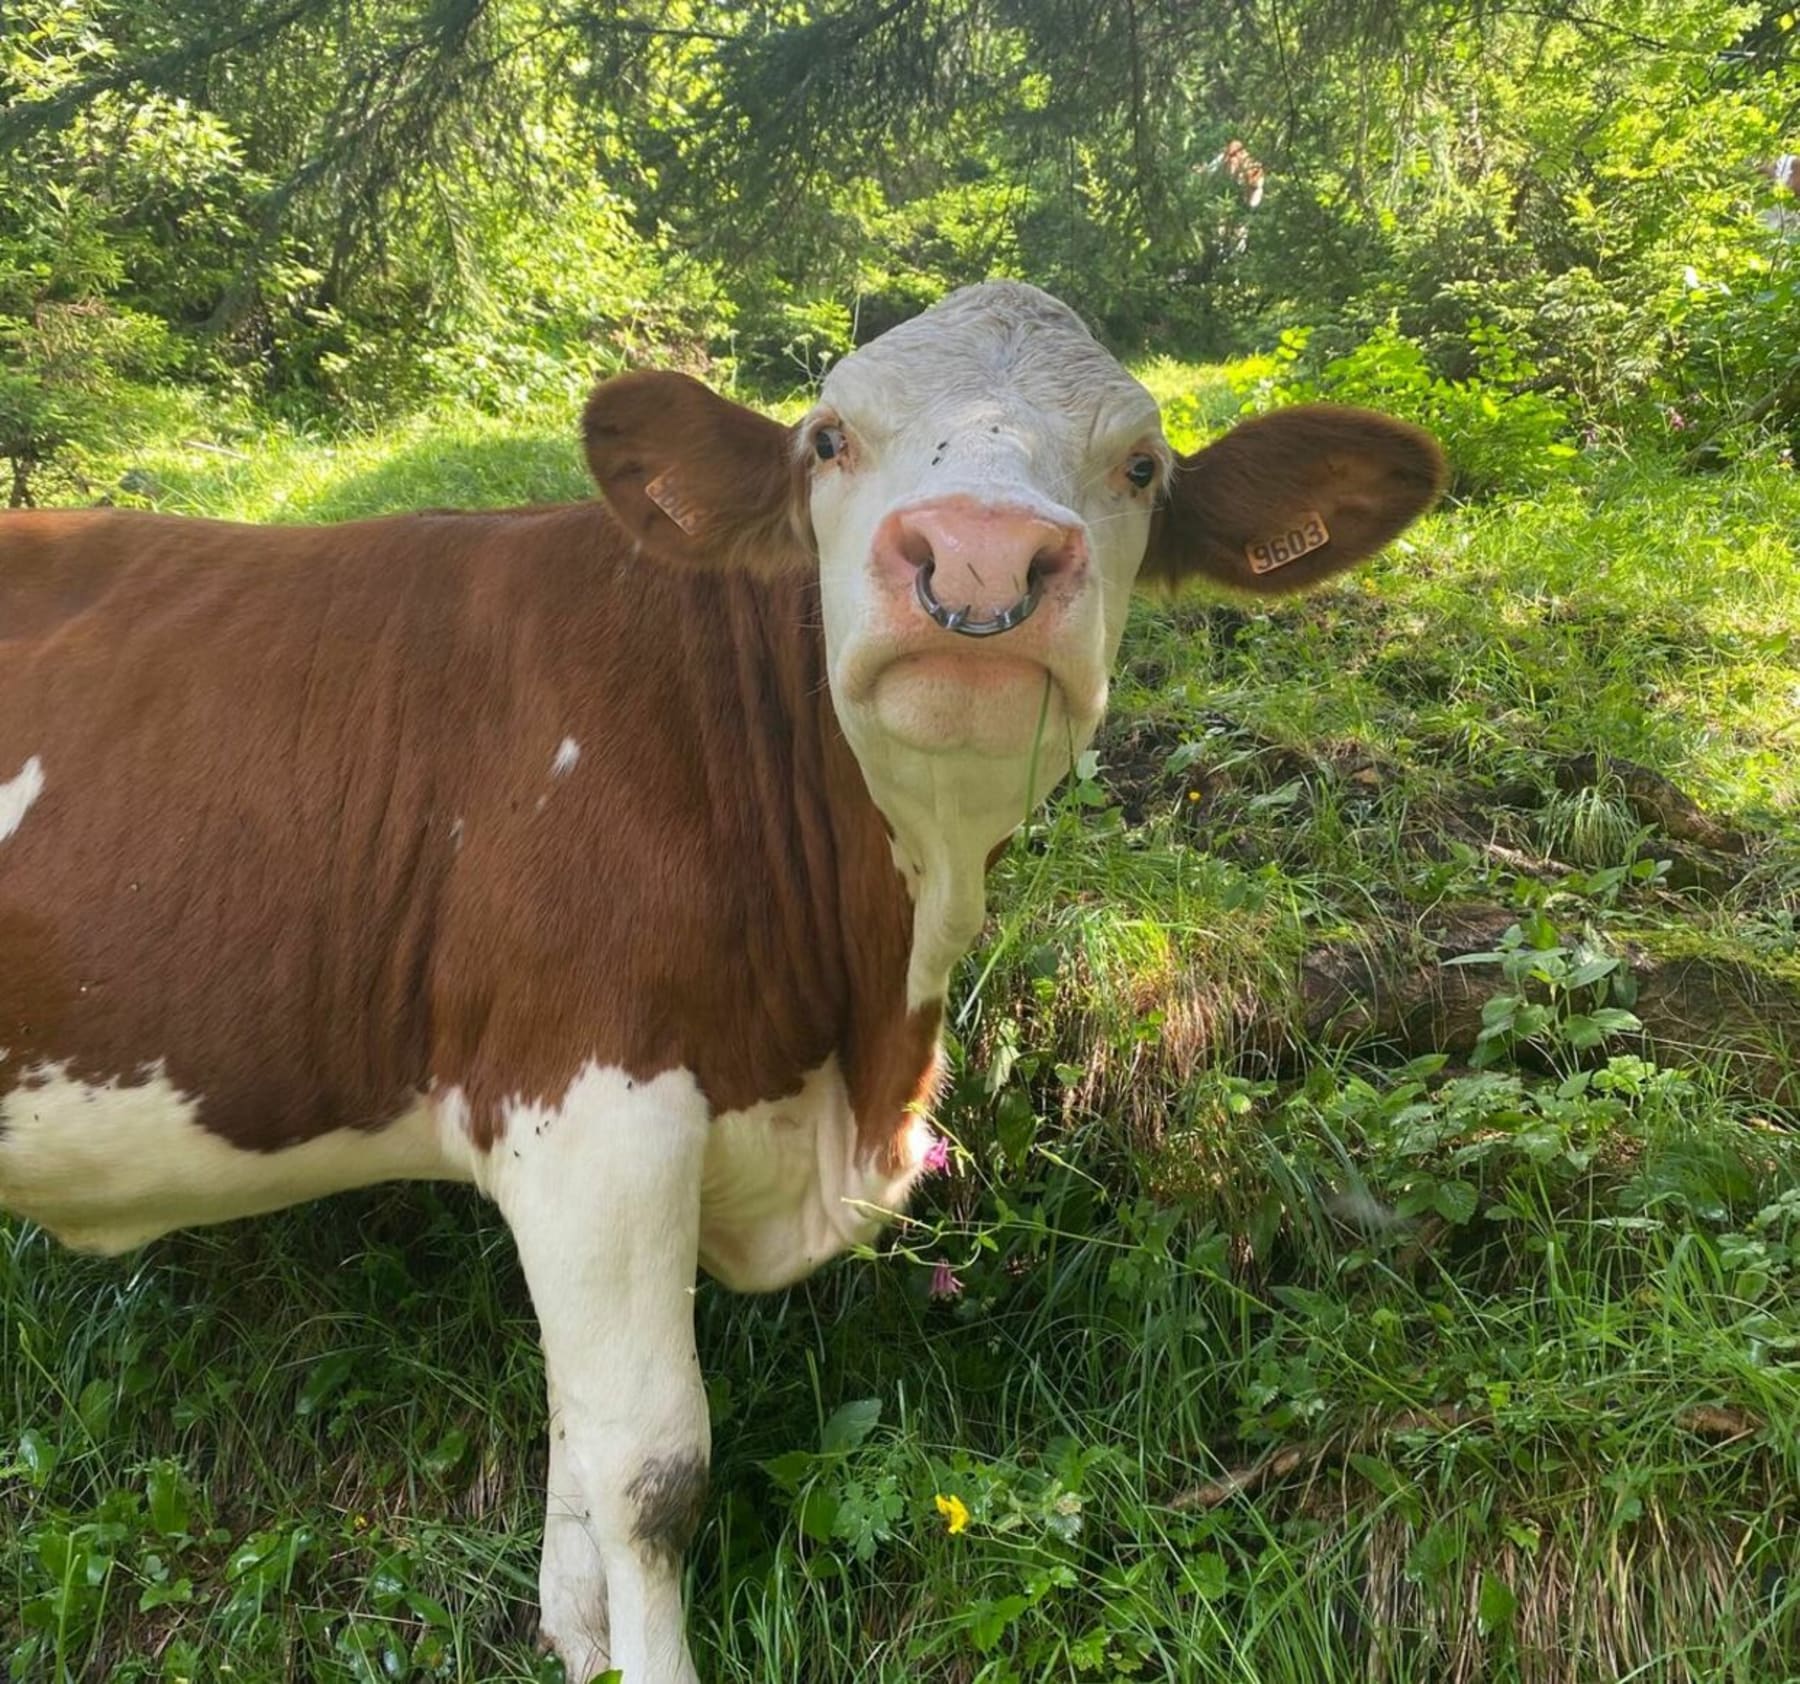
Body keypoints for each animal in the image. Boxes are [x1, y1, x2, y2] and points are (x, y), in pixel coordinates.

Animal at [0, 282, 1440, 1676]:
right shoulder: (592, 1103)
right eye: (828, 439)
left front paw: (577, 1636)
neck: (855, 1039)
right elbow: (650, 1465)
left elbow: (578, 1433)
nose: (978, 557)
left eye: (1142, 464)